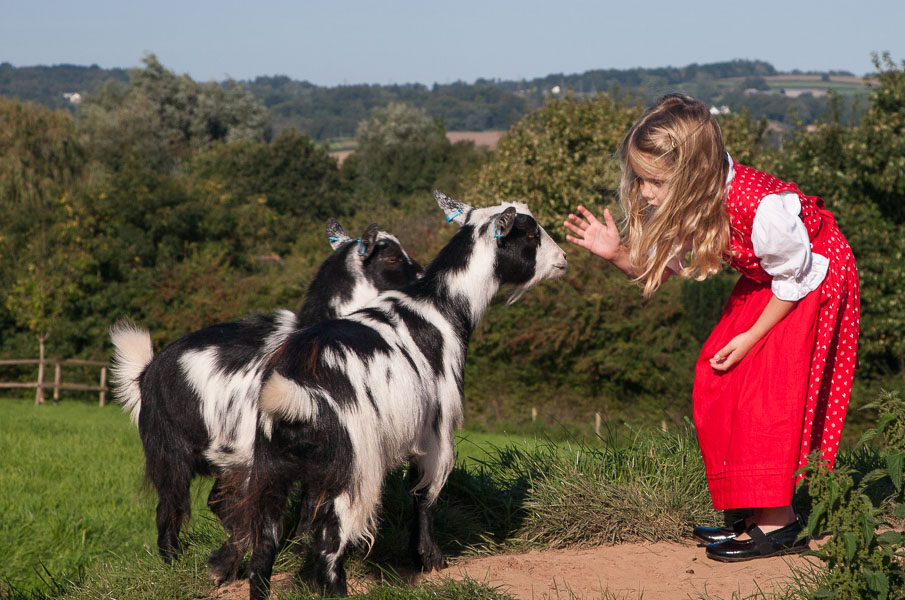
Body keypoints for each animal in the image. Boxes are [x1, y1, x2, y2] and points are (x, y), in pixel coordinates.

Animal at [221, 192, 564, 600]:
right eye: (529, 233)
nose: (562, 259)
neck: (442, 307)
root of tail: (292, 393)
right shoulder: (435, 429)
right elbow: (423, 493)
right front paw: (429, 559)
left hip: (273, 469)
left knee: (264, 550)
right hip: (352, 467)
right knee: (329, 544)